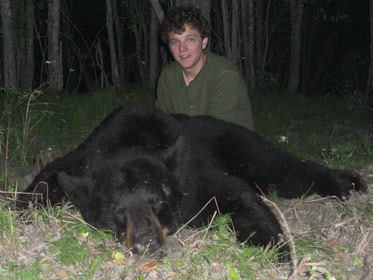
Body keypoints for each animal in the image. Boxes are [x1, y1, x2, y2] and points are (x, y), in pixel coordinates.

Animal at [15, 100, 366, 258]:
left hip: (241, 146)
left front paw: (274, 249)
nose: (146, 241)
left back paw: (347, 183)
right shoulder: (85, 158)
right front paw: (22, 213)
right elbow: (50, 176)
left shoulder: (193, 177)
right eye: (117, 210)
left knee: (283, 169)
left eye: (157, 200)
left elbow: (238, 196)